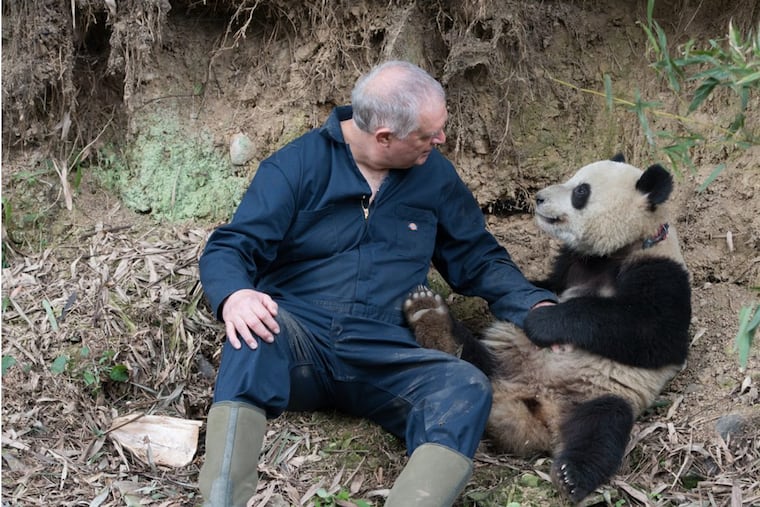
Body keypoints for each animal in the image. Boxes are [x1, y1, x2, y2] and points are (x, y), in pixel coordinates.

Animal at [404, 154, 692, 503]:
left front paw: (543, 322)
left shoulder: (662, 271)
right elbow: (537, 286)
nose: (539, 198)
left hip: (599, 395)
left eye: (580, 192)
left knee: (601, 428)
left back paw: (572, 475)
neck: (618, 249)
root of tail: (530, 404)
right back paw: (430, 317)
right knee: (473, 361)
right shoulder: (568, 264)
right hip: (502, 362)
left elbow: (655, 333)